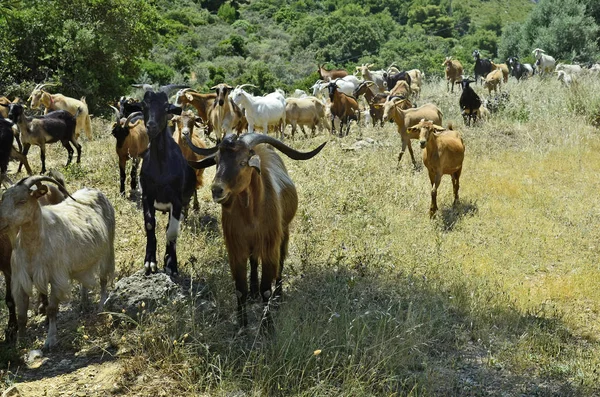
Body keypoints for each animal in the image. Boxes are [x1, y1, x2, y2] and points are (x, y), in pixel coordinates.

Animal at [0, 175, 116, 348]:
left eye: (22, 201)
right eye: (3, 199)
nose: (0, 222)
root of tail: (94, 190)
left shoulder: (56, 277)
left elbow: (52, 309)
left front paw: (50, 340)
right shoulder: (21, 280)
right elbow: (21, 316)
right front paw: (21, 343)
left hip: (107, 249)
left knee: (103, 279)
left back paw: (101, 307)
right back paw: (83, 303)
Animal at [139, 89, 196, 276]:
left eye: (166, 107)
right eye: (143, 105)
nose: (151, 126)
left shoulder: (176, 201)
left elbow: (171, 232)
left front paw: (171, 264)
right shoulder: (147, 196)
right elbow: (150, 225)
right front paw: (150, 262)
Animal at [185, 133, 326, 328]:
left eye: (243, 162)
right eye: (216, 160)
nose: (216, 190)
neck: (251, 215)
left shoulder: (269, 245)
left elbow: (266, 289)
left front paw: (267, 326)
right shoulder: (236, 248)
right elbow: (240, 290)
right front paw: (242, 325)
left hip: (284, 232)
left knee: (281, 262)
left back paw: (278, 295)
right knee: (253, 261)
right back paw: (253, 290)